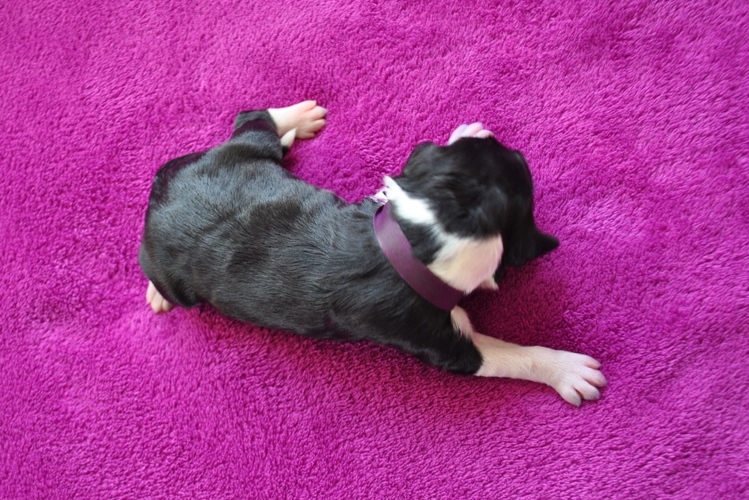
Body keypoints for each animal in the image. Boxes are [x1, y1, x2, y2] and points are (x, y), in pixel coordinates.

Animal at [139, 101, 606, 406]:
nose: (493, 139)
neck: (417, 245)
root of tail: (161, 191)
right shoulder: (441, 343)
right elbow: (511, 355)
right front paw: (567, 370)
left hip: (242, 154)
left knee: (252, 122)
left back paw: (298, 118)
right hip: (173, 276)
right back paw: (156, 295)